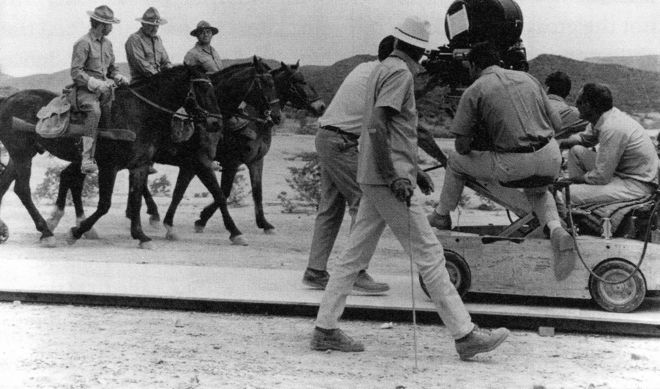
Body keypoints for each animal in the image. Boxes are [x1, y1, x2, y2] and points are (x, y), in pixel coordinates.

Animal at [0, 63, 223, 246]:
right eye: (202, 88)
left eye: (213, 88)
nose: (216, 122)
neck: (138, 113)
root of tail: (8, 99)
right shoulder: (110, 167)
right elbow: (104, 205)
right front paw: (75, 232)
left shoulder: (140, 166)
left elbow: (136, 199)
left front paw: (141, 236)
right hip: (21, 155)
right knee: (22, 190)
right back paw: (46, 232)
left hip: (20, 155)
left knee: (6, 184)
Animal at [42, 56, 282, 246]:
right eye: (265, 83)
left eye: (275, 82)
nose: (277, 116)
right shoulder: (205, 162)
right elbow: (220, 195)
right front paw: (234, 231)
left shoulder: (192, 164)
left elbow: (181, 193)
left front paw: (170, 226)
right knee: (72, 179)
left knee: (69, 177)